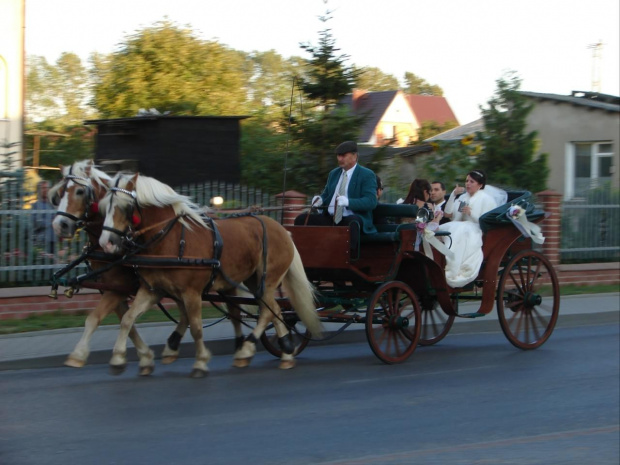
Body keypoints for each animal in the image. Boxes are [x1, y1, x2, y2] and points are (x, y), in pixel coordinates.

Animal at [98, 172, 322, 376]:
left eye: (125, 206)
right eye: (104, 206)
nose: (105, 242)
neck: (172, 239)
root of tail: (283, 230)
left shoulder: (192, 293)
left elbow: (196, 328)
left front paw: (200, 362)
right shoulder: (153, 290)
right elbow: (127, 319)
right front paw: (119, 359)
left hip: (267, 280)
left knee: (268, 312)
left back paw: (249, 349)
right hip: (254, 280)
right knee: (274, 309)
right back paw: (285, 350)